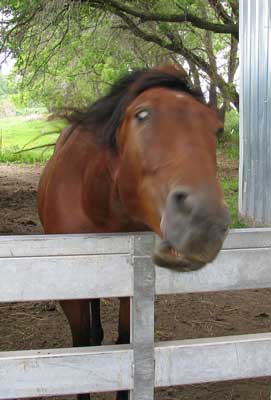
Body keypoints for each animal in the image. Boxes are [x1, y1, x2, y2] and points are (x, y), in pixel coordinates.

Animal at [37, 65, 230, 400]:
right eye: (142, 115)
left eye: (216, 129)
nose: (204, 222)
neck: (93, 197)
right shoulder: (70, 291)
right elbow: (81, 352)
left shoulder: (131, 291)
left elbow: (126, 343)